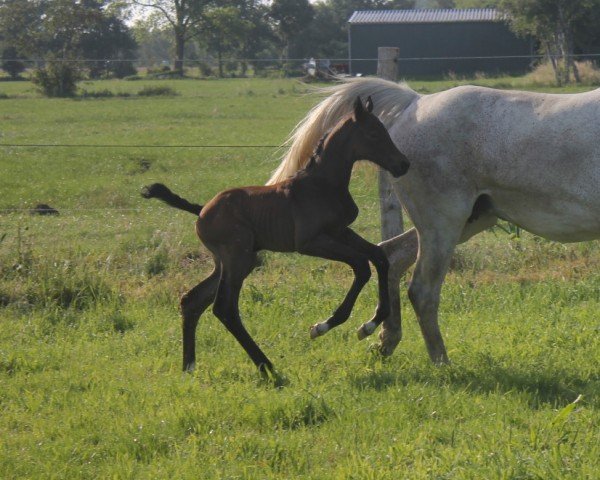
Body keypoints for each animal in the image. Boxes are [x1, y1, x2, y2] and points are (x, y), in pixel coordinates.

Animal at [143, 96, 410, 376]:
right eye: (373, 133)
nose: (403, 164)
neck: (322, 184)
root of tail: (202, 210)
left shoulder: (340, 232)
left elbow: (379, 256)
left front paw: (371, 323)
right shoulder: (311, 242)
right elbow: (361, 266)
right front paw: (323, 326)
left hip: (231, 262)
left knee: (192, 300)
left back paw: (189, 366)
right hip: (238, 258)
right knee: (224, 308)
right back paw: (266, 366)